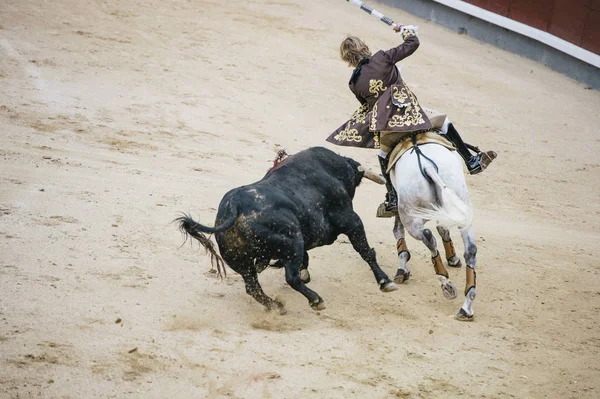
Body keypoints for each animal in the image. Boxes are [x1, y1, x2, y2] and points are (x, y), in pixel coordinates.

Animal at [175, 145, 398, 314]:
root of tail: (234, 205)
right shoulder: (351, 220)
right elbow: (366, 251)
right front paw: (385, 282)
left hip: (241, 260)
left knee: (253, 287)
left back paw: (277, 306)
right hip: (292, 242)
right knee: (291, 278)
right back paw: (315, 300)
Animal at [390, 142, 478, 320]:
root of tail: (427, 165)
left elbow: (397, 231)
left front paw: (402, 269)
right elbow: (443, 229)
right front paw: (453, 258)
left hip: (410, 217)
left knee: (428, 237)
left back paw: (446, 283)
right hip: (463, 205)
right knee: (470, 250)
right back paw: (466, 307)